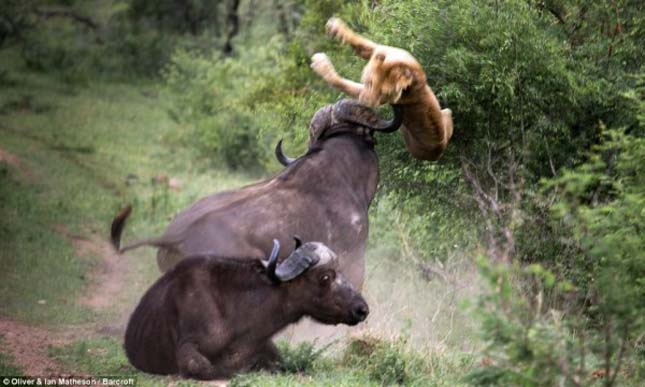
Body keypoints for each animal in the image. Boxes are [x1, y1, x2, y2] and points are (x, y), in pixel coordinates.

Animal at [308, 17, 450, 161]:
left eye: (384, 93)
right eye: (369, 83)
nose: (365, 102)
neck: (402, 66)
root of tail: (439, 150)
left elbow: (343, 83)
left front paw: (321, 64)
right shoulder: (381, 49)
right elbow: (360, 42)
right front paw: (335, 27)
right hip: (446, 112)